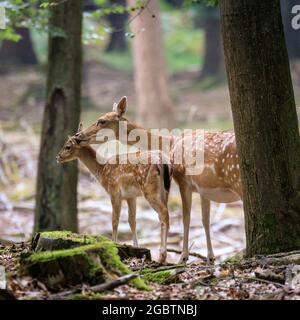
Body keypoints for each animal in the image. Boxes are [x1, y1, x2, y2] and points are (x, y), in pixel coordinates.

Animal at [56, 124, 172, 264]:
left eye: (68, 146)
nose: (57, 157)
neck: (102, 171)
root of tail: (164, 162)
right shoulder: (130, 196)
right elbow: (132, 221)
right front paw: (137, 247)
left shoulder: (114, 192)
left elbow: (114, 220)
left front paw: (114, 244)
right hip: (165, 189)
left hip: (149, 189)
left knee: (163, 213)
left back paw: (162, 256)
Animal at [75, 96, 244, 264]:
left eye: (101, 120)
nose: (78, 136)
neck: (169, 144)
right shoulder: (204, 188)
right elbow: (205, 220)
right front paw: (210, 258)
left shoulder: (182, 179)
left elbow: (186, 217)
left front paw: (183, 257)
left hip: (237, 180)